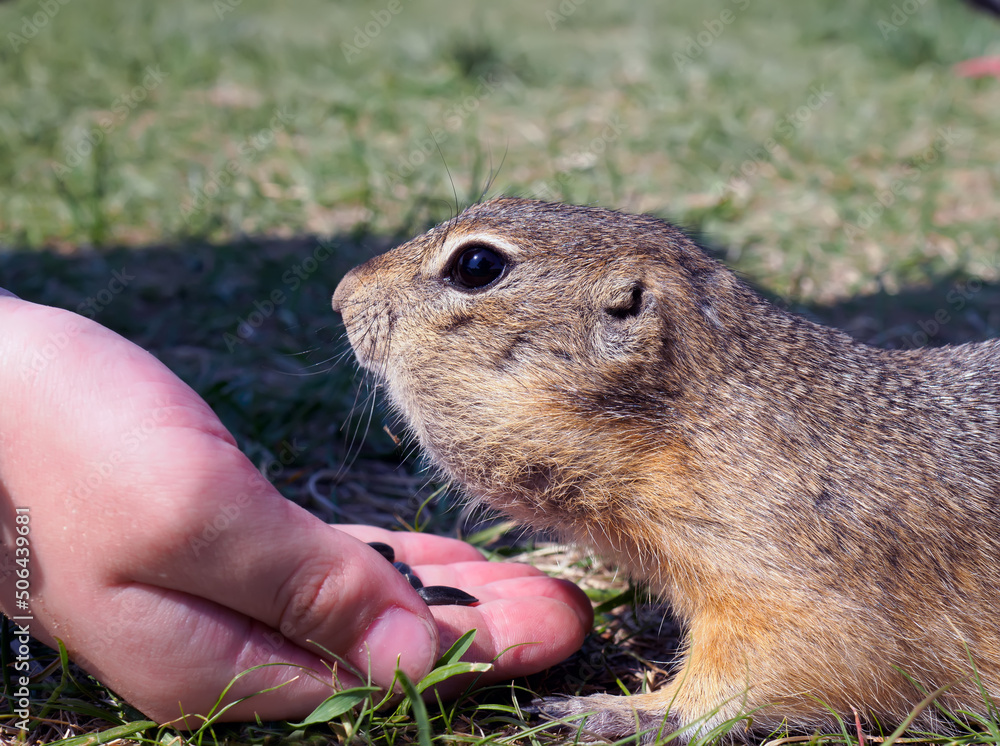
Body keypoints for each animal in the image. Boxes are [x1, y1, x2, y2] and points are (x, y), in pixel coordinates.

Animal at [332, 195, 1000, 740]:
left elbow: (766, 673)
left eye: (476, 265)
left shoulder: (795, 589)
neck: (693, 430)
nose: (341, 294)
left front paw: (615, 710)